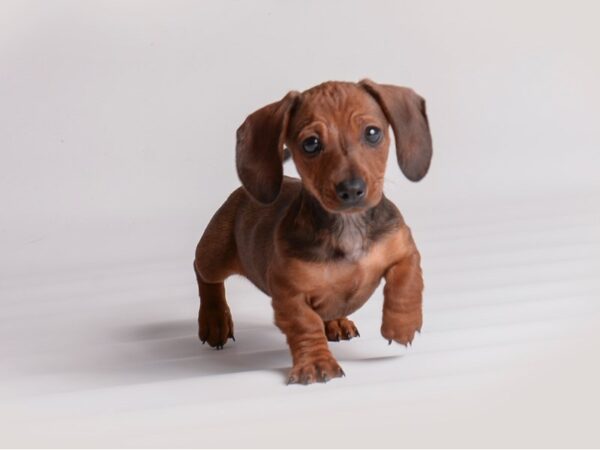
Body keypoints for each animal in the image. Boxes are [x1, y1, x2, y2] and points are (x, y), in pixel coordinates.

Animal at [195, 79, 434, 384]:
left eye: (372, 133)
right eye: (311, 144)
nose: (352, 189)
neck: (348, 226)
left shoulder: (403, 249)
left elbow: (406, 282)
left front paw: (401, 325)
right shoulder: (289, 295)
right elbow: (305, 325)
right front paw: (317, 364)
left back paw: (336, 322)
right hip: (214, 256)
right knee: (204, 275)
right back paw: (214, 319)